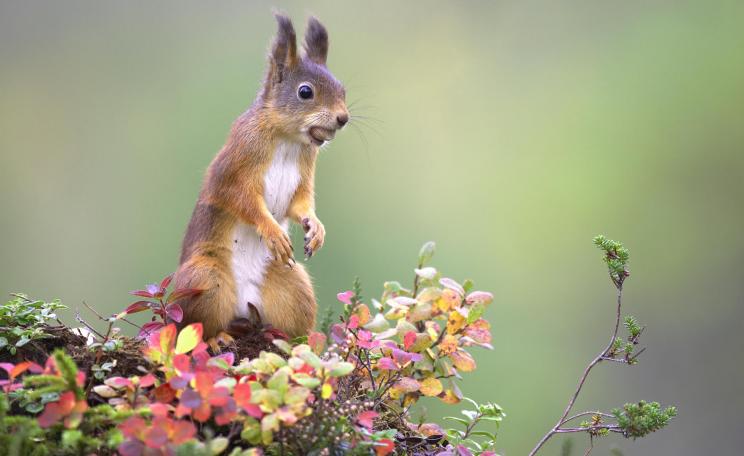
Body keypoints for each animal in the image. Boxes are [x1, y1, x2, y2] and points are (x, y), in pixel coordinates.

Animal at [173, 14, 348, 347]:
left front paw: (316, 228)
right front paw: (272, 230)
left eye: (343, 89)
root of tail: (243, 307)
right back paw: (216, 339)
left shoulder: (304, 173)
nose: (343, 119)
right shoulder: (235, 165)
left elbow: (300, 204)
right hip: (204, 280)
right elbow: (240, 200)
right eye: (305, 92)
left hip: (293, 286)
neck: (287, 139)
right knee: (192, 328)